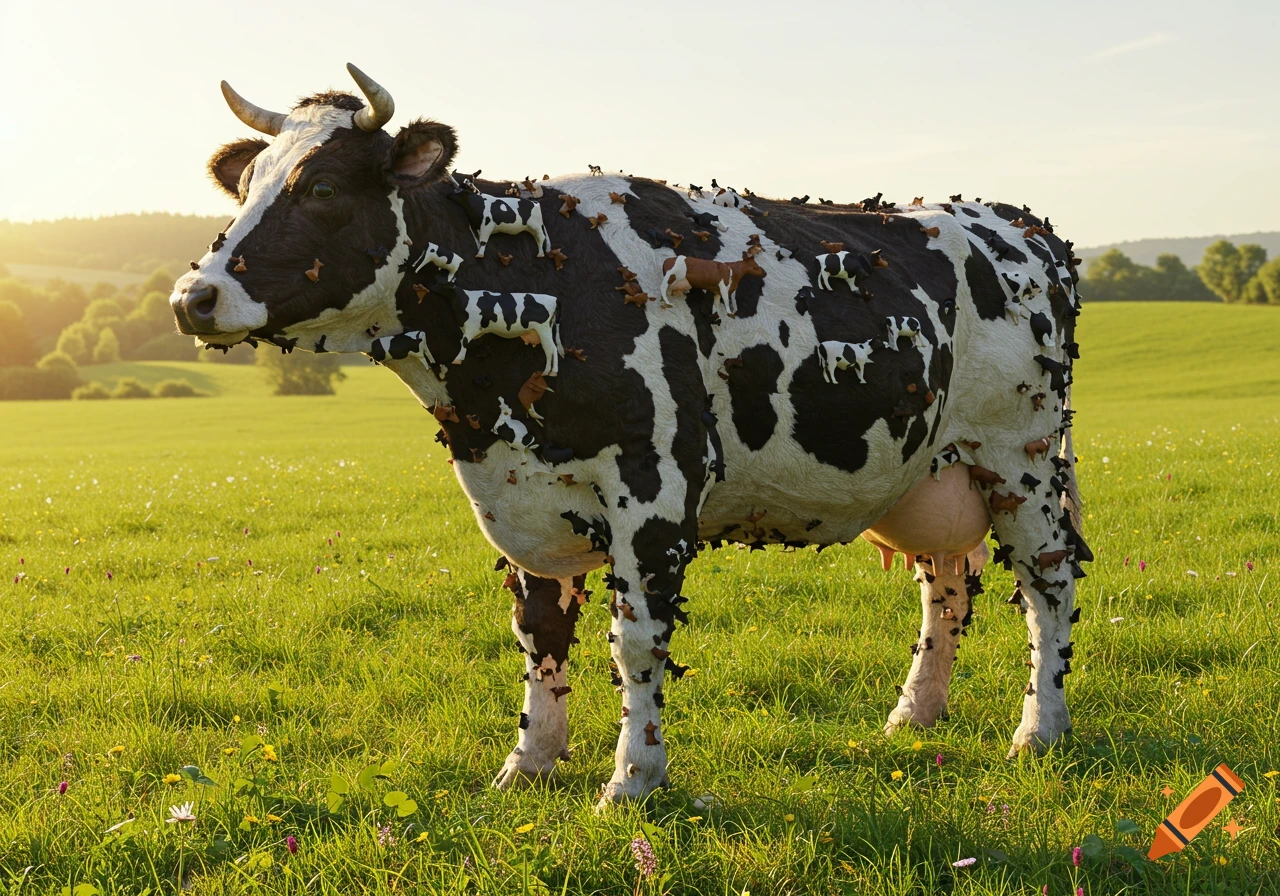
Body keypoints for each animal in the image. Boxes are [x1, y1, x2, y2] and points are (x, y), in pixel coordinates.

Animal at [170, 65, 1091, 807]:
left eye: (323, 187)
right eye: (245, 186)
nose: (192, 297)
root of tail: (1017, 220)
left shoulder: (654, 486)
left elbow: (636, 641)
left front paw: (633, 781)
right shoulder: (522, 491)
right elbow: (539, 634)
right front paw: (528, 765)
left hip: (1021, 457)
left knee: (1047, 584)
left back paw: (1039, 731)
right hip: (931, 468)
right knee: (946, 585)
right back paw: (915, 715)